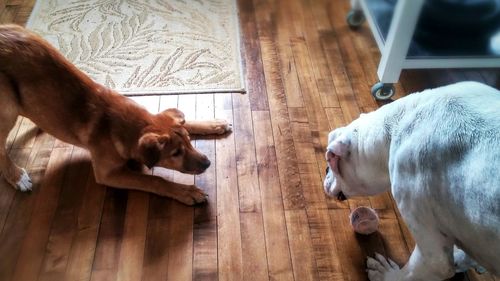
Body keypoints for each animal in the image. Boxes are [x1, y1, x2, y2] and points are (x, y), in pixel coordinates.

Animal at [0, 24, 232, 203]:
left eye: (190, 140)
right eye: (175, 153)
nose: (208, 163)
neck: (122, 126)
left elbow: (186, 121)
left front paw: (215, 124)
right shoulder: (108, 174)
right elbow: (154, 179)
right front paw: (186, 192)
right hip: (7, 106)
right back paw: (16, 176)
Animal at [324, 80, 500, 278]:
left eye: (331, 161)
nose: (325, 170)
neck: (395, 127)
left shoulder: (432, 255)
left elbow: (409, 273)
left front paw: (386, 275)